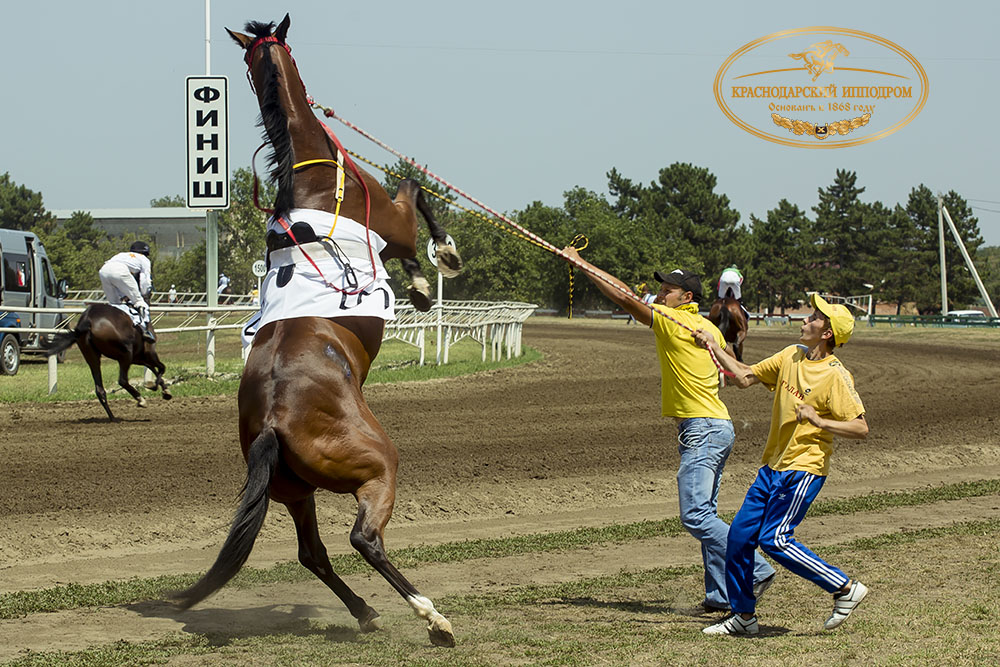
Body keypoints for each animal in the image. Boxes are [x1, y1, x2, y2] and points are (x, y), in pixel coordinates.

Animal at [169, 15, 458, 648]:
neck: (315, 180)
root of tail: (273, 423)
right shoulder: (396, 224)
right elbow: (415, 190)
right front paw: (435, 267)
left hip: (295, 491)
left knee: (314, 553)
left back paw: (367, 611)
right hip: (376, 466)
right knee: (363, 538)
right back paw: (432, 618)